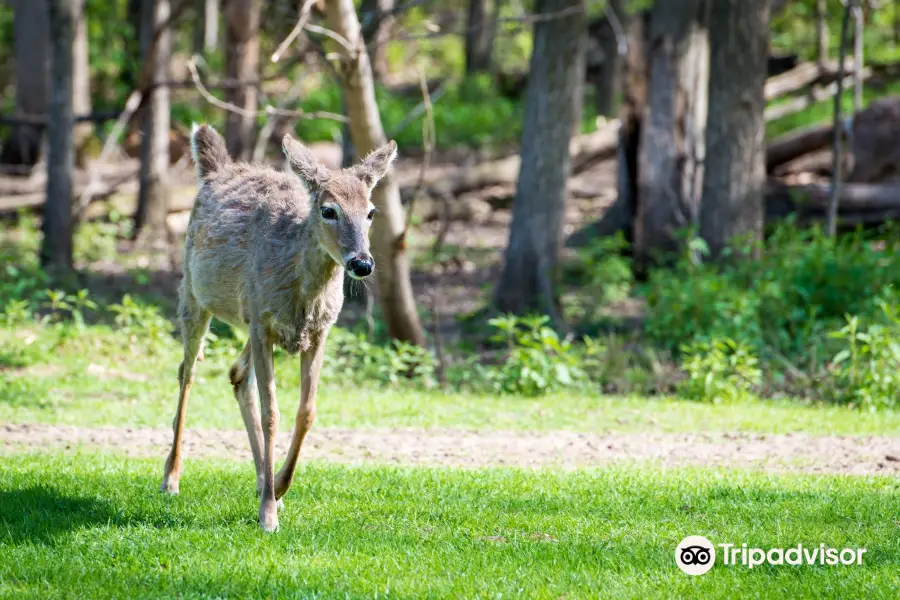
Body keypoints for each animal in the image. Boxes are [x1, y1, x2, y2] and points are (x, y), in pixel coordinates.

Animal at [161, 124, 398, 532]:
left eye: (370, 211)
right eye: (329, 210)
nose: (362, 263)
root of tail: (217, 168)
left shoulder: (317, 332)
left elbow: (307, 411)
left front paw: (280, 487)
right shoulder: (262, 325)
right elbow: (272, 413)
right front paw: (268, 513)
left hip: (248, 318)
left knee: (237, 374)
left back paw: (262, 481)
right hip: (194, 294)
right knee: (187, 373)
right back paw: (171, 477)